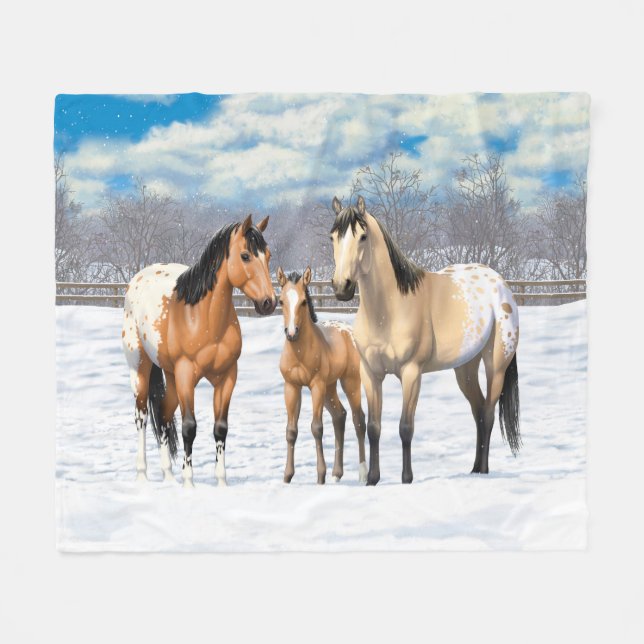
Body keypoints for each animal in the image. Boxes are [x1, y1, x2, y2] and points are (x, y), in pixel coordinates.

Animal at [122, 214, 276, 487]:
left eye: (267, 255)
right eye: (245, 255)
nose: (269, 302)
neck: (203, 318)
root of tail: (138, 279)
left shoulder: (227, 377)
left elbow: (220, 428)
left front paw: (221, 482)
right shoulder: (186, 375)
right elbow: (189, 427)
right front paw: (189, 482)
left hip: (170, 376)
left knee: (163, 416)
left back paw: (168, 476)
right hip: (140, 367)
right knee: (142, 416)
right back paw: (142, 474)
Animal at [276, 266, 367, 484]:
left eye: (303, 301)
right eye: (281, 301)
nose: (291, 333)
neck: (299, 352)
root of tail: (348, 331)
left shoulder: (316, 385)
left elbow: (316, 428)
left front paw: (320, 476)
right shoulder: (291, 386)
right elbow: (291, 431)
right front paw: (287, 476)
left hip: (349, 382)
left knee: (358, 420)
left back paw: (362, 475)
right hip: (330, 387)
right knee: (339, 416)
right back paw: (337, 474)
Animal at [329, 196, 521, 485]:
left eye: (362, 236)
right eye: (332, 237)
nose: (342, 287)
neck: (388, 310)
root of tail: (500, 283)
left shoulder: (411, 373)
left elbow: (405, 427)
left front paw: (407, 478)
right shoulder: (370, 374)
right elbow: (374, 427)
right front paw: (372, 479)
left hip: (495, 365)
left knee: (487, 413)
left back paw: (484, 470)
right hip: (465, 368)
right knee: (477, 411)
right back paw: (474, 468)